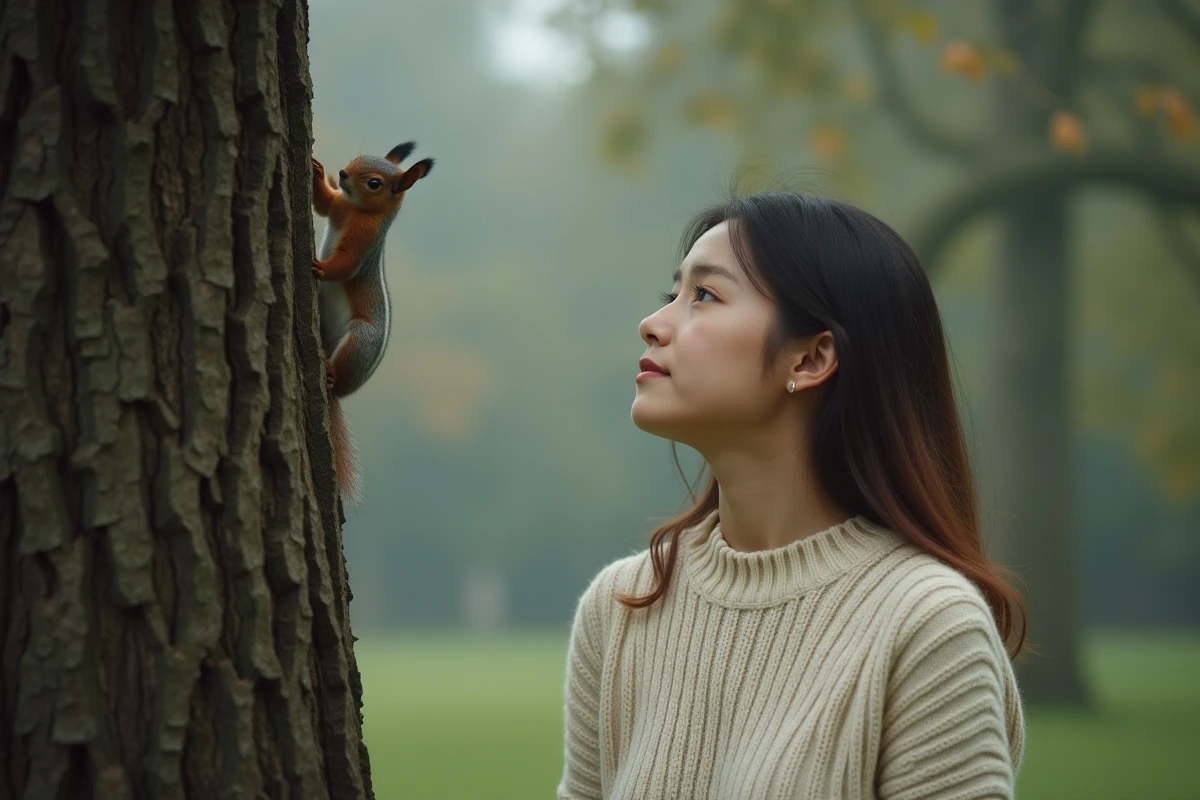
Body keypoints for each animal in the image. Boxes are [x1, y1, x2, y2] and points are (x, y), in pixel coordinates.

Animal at [311, 141, 434, 503]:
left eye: (375, 183)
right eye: (357, 158)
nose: (342, 174)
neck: (355, 210)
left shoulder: (364, 241)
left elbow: (345, 265)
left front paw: (320, 267)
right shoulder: (336, 206)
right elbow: (323, 205)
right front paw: (317, 173)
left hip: (359, 339)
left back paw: (332, 374)